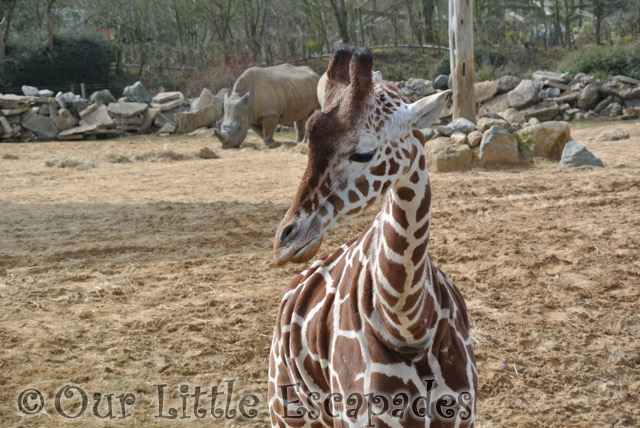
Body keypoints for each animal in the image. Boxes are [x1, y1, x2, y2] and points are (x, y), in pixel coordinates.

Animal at [268, 45, 476, 426]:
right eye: (309, 145)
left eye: (363, 152)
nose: (284, 242)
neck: (408, 323)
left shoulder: (463, 416)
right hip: (288, 410)